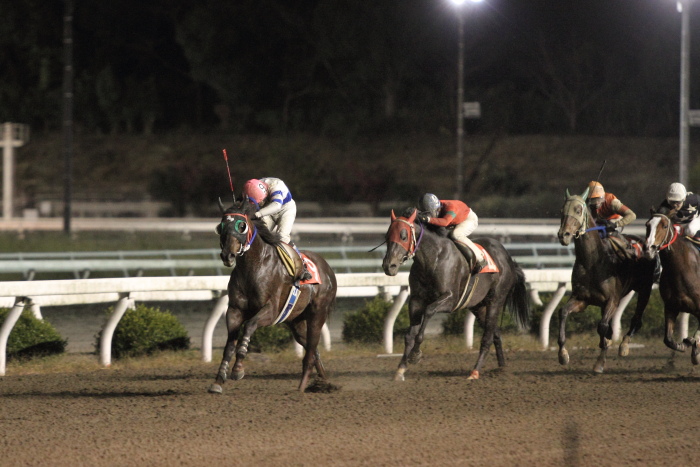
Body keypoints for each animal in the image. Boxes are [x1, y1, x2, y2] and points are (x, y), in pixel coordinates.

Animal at [209, 199, 338, 394]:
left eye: (242, 226)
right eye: (221, 226)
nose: (227, 255)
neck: (254, 266)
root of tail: (327, 268)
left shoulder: (271, 311)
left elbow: (249, 326)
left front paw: (238, 370)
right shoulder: (235, 310)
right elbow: (229, 345)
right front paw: (218, 381)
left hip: (318, 314)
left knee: (310, 353)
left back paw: (301, 388)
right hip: (295, 321)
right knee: (312, 349)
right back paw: (324, 383)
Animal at [382, 210, 532, 382]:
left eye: (403, 236)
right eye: (387, 236)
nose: (389, 266)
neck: (432, 258)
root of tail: (508, 258)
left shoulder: (451, 299)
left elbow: (429, 311)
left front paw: (415, 354)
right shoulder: (416, 300)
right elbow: (409, 335)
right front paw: (400, 369)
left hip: (496, 300)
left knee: (487, 338)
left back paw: (475, 372)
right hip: (478, 306)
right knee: (495, 333)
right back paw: (502, 368)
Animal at [556, 188, 656, 374]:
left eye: (578, 210)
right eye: (561, 211)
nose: (563, 235)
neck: (593, 261)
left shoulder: (612, 300)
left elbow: (602, 327)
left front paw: (599, 362)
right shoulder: (582, 299)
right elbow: (563, 312)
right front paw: (563, 355)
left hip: (645, 289)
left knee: (637, 319)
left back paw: (624, 346)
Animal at [644, 212, 700, 362]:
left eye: (664, 226)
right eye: (647, 225)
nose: (649, 248)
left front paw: (694, 347)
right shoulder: (671, 306)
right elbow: (668, 340)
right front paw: (685, 343)